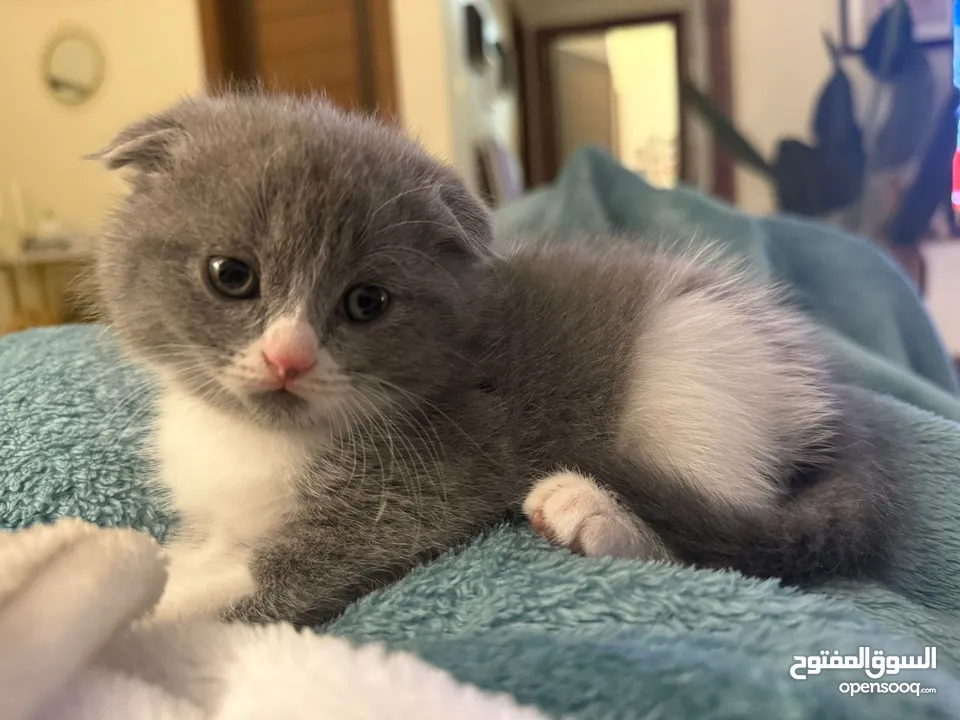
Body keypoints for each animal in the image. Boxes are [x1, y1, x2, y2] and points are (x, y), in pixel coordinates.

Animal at [94, 94, 904, 624]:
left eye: (366, 302)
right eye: (232, 274)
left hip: (690, 367)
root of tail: (829, 396)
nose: (288, 358)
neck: (258, 439)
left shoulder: (424, 485)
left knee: (720, 541)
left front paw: (135, 601)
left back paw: (591, 514)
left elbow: (264, 579)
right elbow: (198, 551)